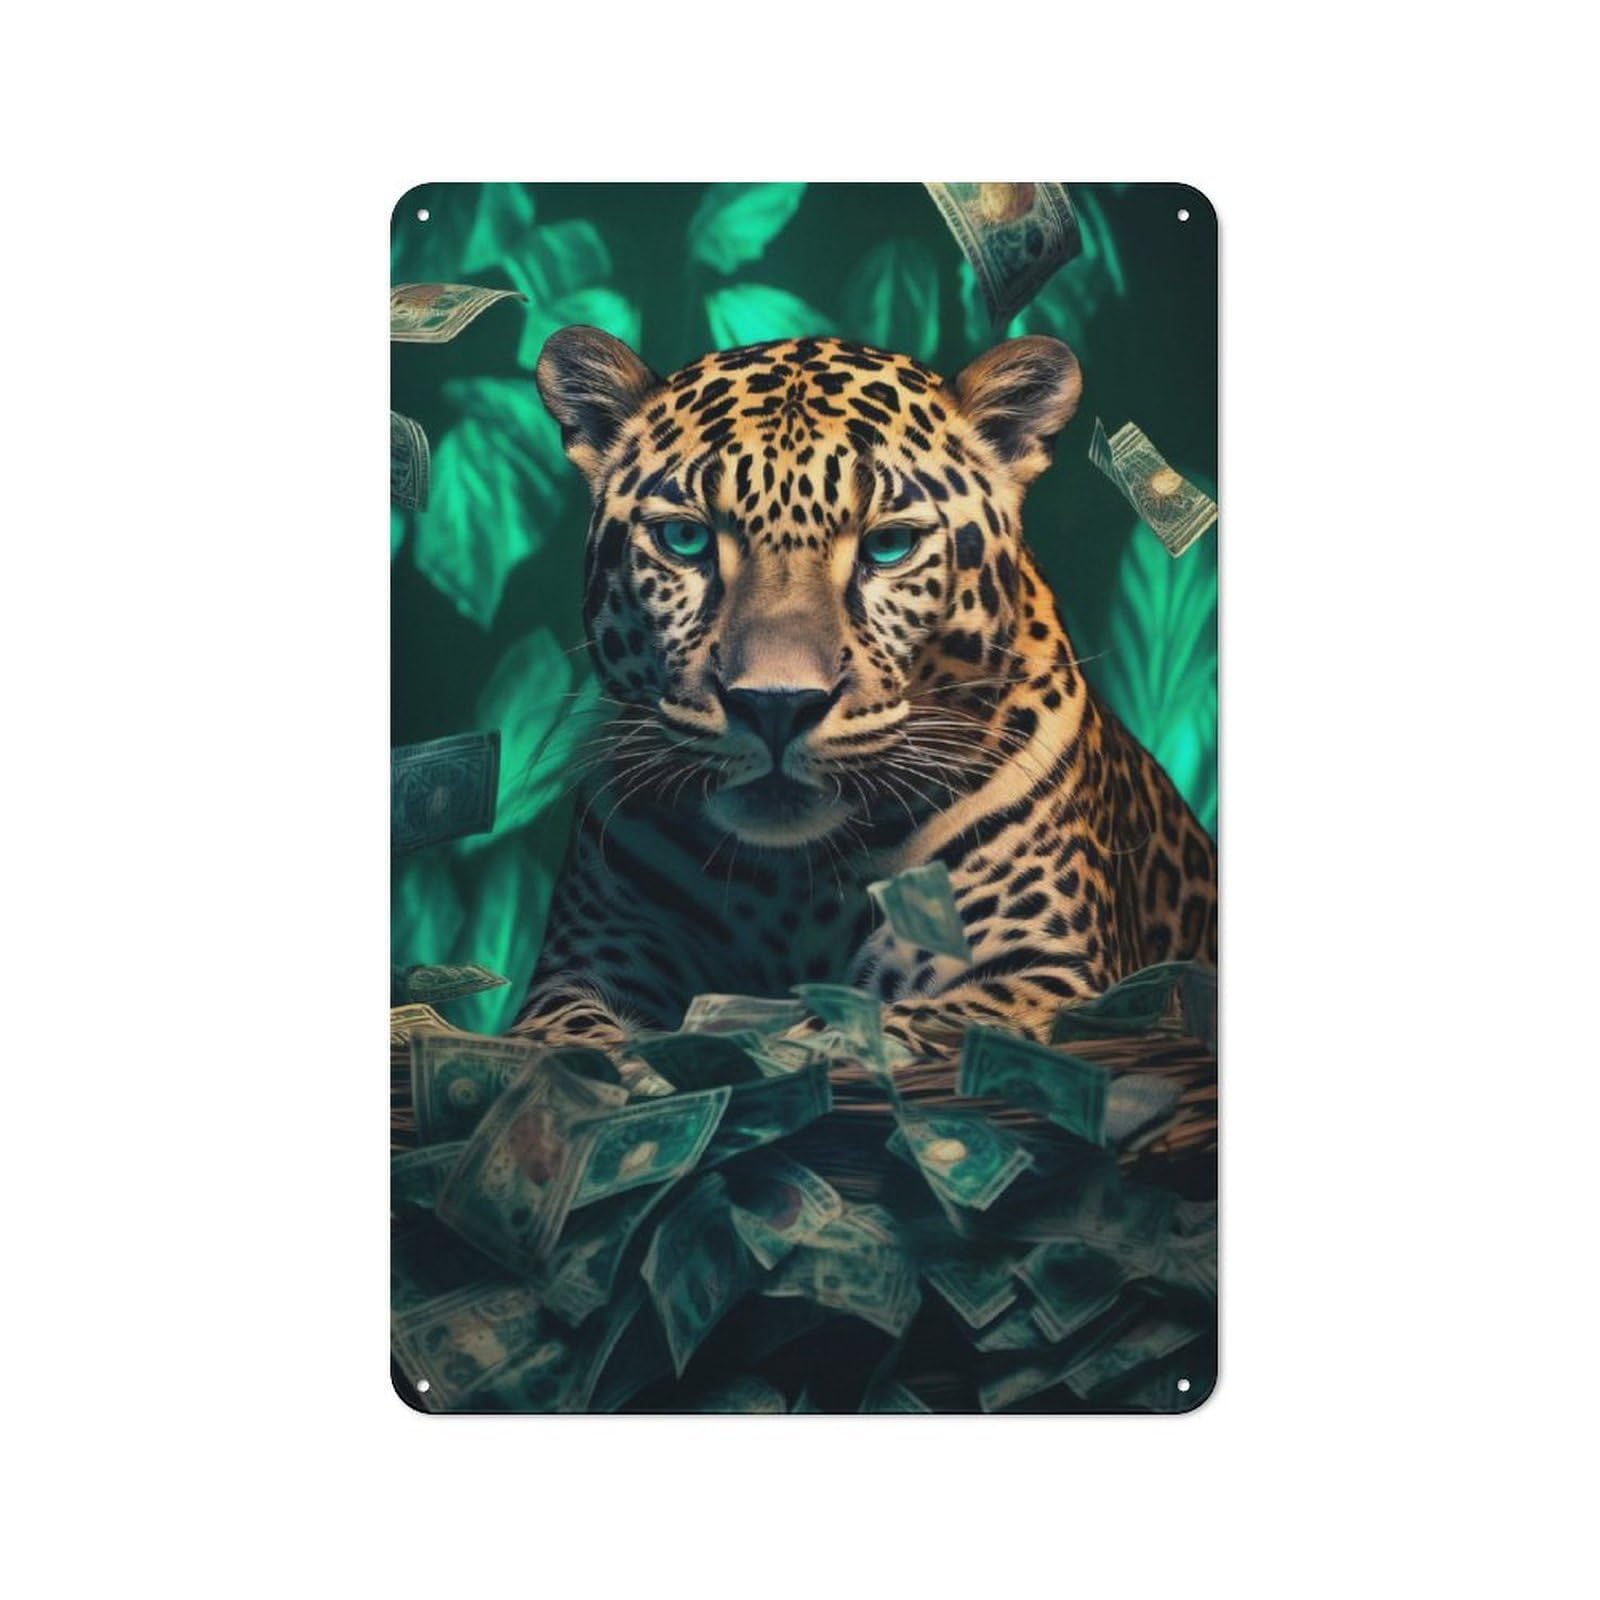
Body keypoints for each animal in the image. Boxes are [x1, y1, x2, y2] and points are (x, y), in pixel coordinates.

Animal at [508, 326, 1217, 1057]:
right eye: (685, 538)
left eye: (889, 546)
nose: (776, 705)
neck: (792, 883)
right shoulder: (584, 966)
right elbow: (561, 1042)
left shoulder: (1052, 977)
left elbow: (891, 1023)